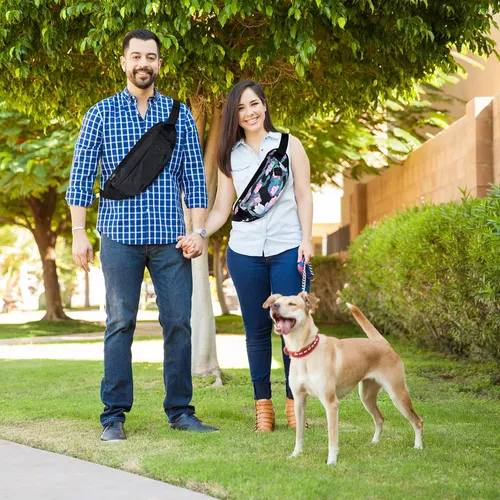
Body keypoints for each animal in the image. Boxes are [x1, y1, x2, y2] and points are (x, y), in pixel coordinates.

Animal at [262, 292, 422, 466]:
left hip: (397, 394)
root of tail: (383, 343)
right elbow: (299, 434)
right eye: (276, 302)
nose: (273, 306)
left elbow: (332, 438)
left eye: (292, 304)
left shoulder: (331, 403)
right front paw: (296, 454)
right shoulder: (299, 401)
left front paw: (331, 461)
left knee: (417, 421)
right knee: (380, 418)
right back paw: (375, 442)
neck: (305, 351)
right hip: (366, 397)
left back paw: (418, 447)